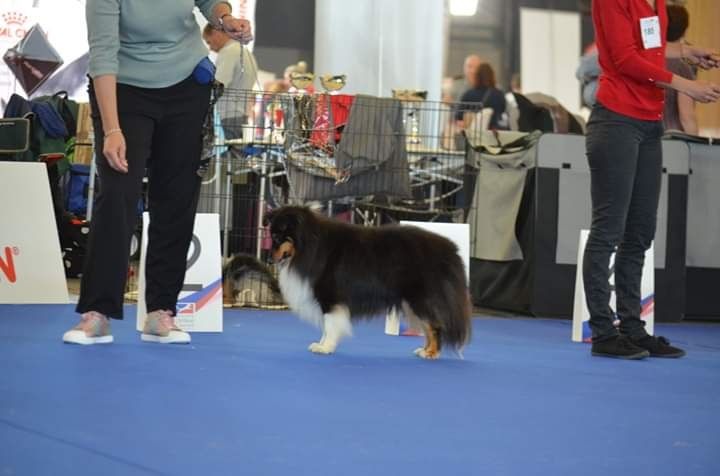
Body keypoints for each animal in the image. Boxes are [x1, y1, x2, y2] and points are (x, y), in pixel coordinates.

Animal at [264, 206, 472, 358]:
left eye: (276, 237)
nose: (269, 258)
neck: (309, 245)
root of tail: (451, 250)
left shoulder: (330, 297)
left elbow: (329, 324)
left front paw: (325, 347)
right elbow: (326, 326)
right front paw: (322, 344)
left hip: (421, 298)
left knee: (434, 325)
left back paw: (431, 353)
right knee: (429, 326)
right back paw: (424, 349)